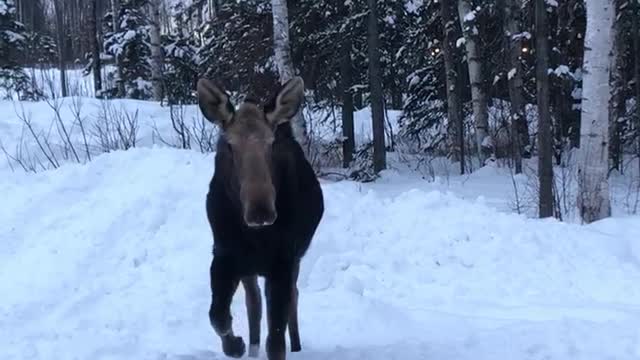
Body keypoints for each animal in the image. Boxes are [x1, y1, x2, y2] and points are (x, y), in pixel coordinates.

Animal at [196, 76, 324, 360]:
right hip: (250, 269)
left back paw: (296, 345)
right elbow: (217, 315)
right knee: (253, 303)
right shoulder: (224, 254)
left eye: (270, 142)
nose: (261, 212)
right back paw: (252, 346)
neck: (257, 238)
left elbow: (276, 342)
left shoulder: (283, 261)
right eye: (229, 145)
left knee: (293, 298)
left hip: (293, 260)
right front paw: (236, 345)